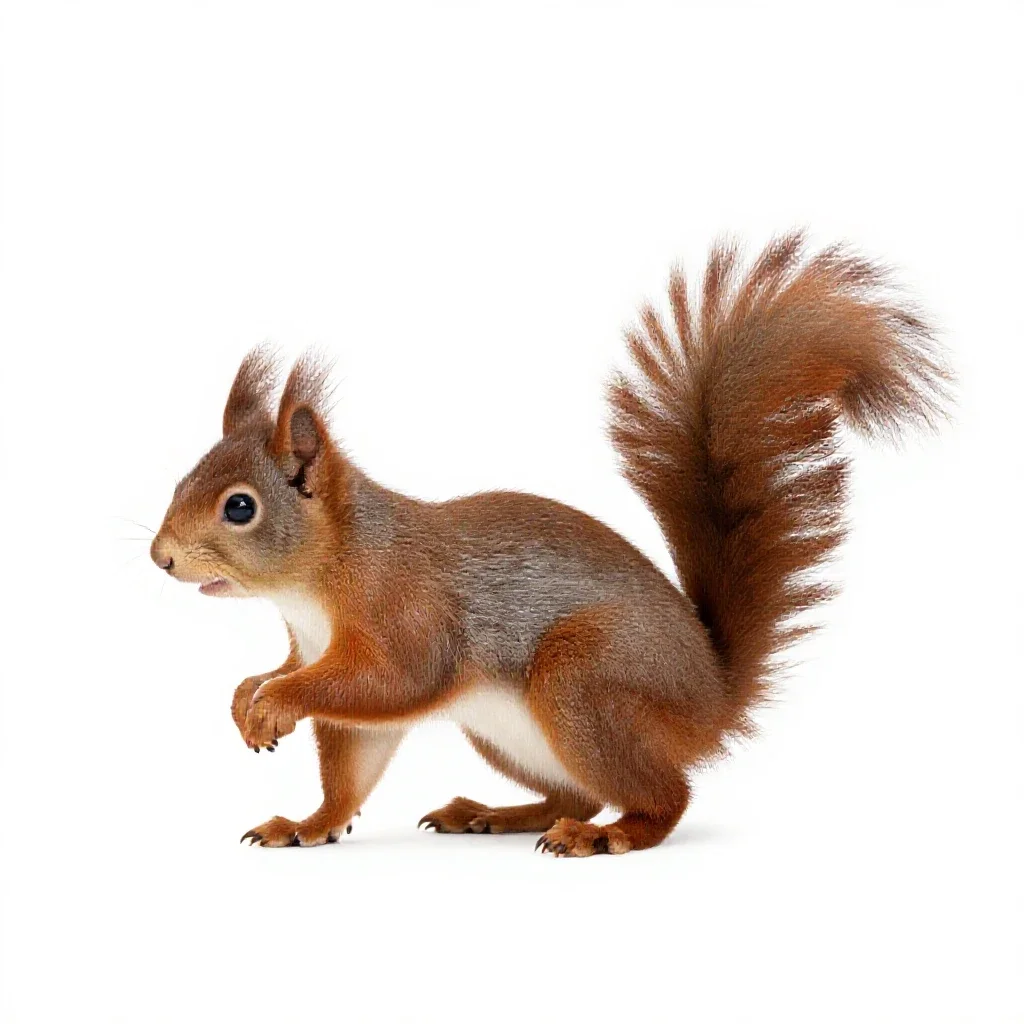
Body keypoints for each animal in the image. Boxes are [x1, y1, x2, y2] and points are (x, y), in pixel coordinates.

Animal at [150, 232, 950, 856]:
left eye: (240, 507)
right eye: (185, 476)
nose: (160, 558)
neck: (317, 584)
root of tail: (712, 700)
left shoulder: (406, 614)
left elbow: (388, 683)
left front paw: (275, 701)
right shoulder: (316, 652)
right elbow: (350, 764)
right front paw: (295, 799)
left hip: (583, 678)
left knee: (664, 796)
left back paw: (611, 835)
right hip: (507, 733)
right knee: (575, 795)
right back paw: (493, 814)